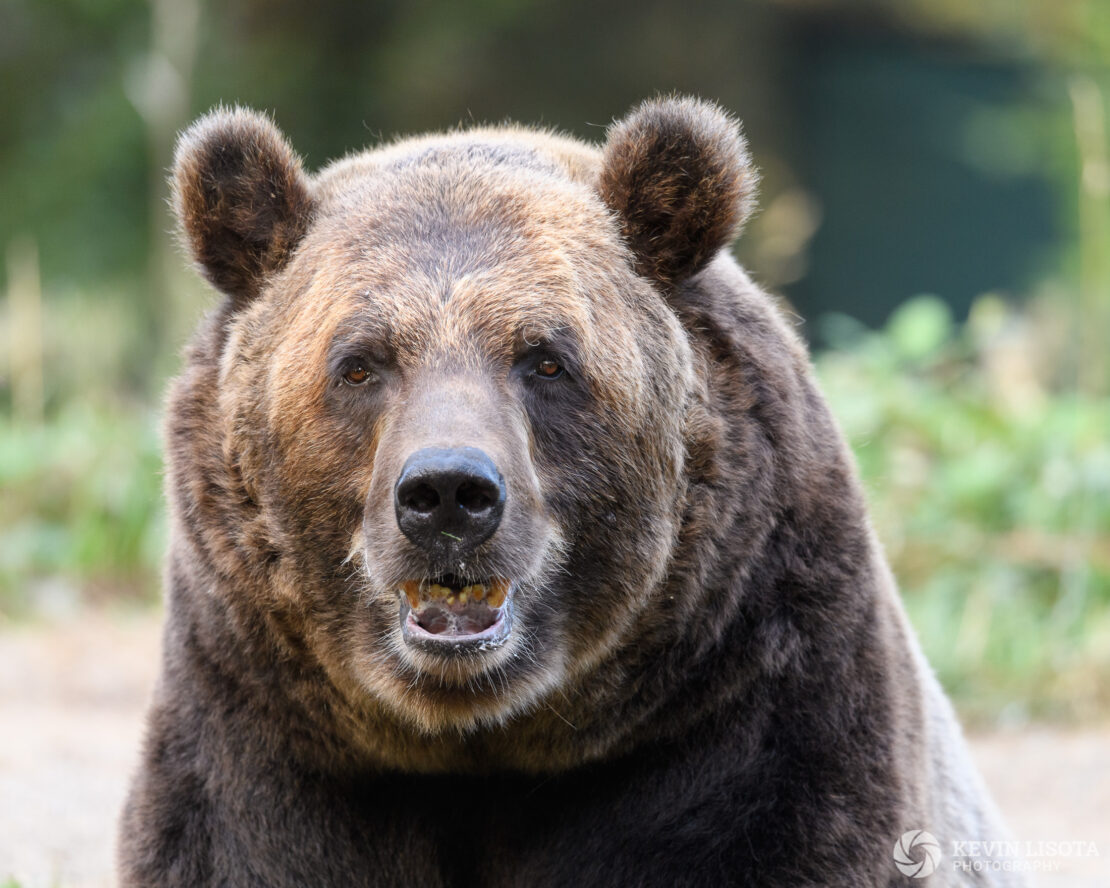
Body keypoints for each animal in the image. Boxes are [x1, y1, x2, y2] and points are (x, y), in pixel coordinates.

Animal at [119, 98, 1021, 888]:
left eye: (546, 359)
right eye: (359, 364)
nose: (448, 494)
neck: (481, 739)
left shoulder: (753, 717)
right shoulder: (268, 735)